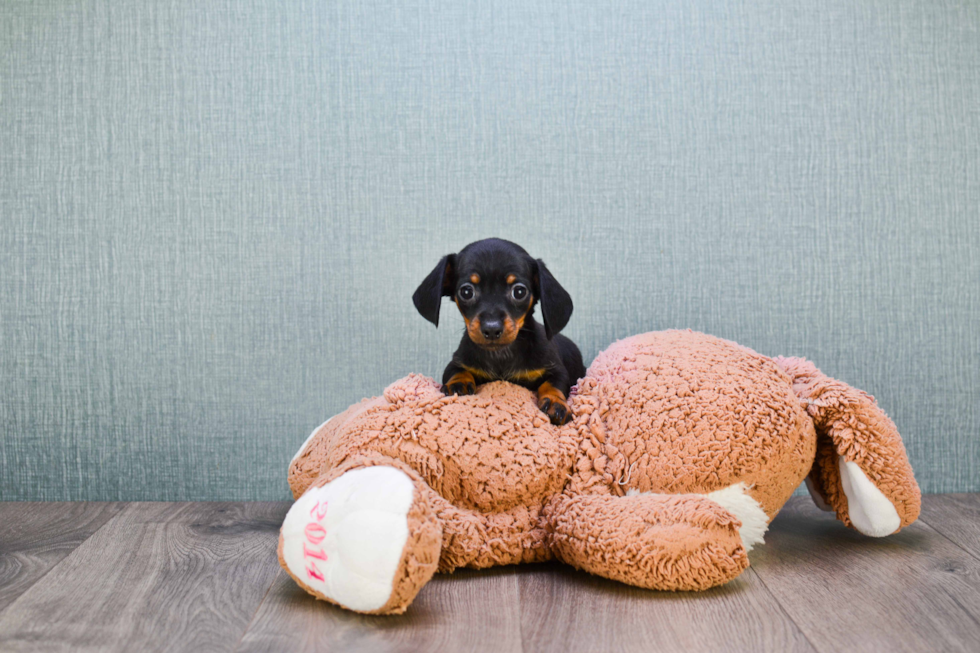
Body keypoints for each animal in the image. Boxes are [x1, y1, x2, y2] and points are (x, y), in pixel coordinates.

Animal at [412, 237, 584, 426]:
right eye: (466, 291)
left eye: (519, 291)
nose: (492, 329)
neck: (501, 356)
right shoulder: (456, 362)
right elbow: (457, 371)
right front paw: (458, 384)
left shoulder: (557, 369)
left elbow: (553, 384)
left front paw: (555, 402)